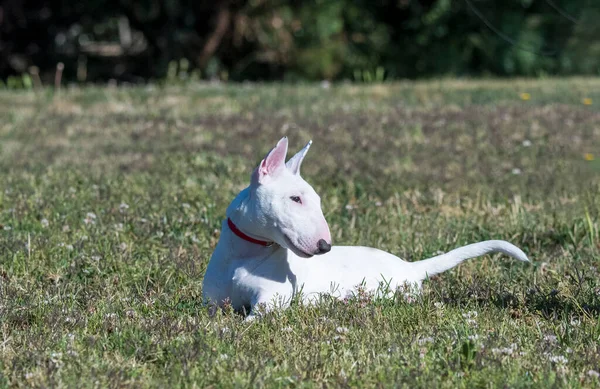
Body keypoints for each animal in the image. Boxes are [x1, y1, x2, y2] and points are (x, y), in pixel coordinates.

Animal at [203, 136, 528, 318]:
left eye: (317, 200)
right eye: (295, 198)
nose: (325, 246)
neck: (246, 254)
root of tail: (410, 267)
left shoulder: (269, 304)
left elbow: (252, 319)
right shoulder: (213, 303)